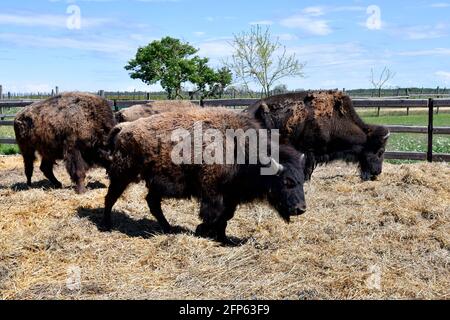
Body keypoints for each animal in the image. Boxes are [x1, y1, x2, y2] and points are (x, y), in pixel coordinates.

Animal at [102, 107, 306, 242]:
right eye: (286, 182)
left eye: (302, 181)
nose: (301, 209)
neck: (238, 148)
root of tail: (124, 127)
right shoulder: (212, 192)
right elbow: (214, 214)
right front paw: (202, 230)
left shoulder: (231, 195)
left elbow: (226, 216)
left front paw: (223, 238)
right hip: (123, 175)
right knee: (110, 197)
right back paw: (107, 225)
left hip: (155, 182)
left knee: (152, 203)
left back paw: (168, 228)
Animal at [246, 91, 390, 181]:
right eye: (380, 151)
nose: (377, 172)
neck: (335, 120)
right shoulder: (309, 151)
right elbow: (308, 168)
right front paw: (305, 180)